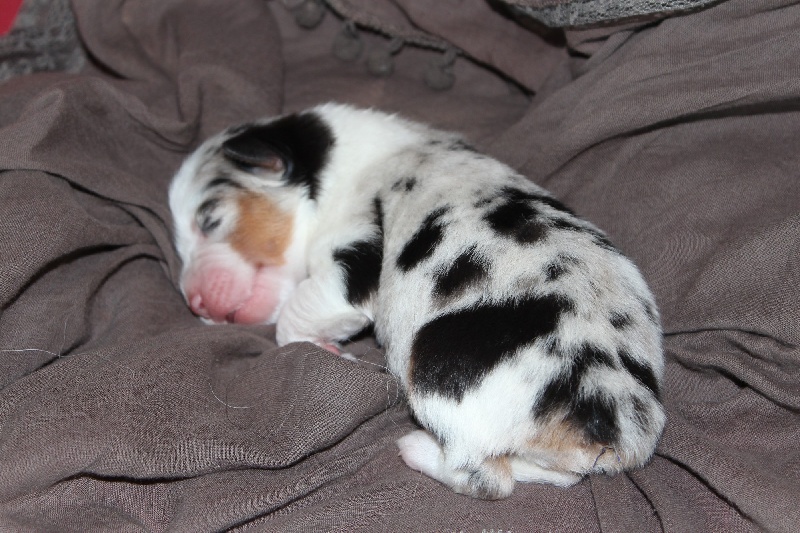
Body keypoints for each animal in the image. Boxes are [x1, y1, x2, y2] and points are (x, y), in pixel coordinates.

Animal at [169, 103, 666, 499]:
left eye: (209, 219)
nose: (195, 303)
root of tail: (608, 421)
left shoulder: (347, 264)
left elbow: (293, 318)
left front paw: (326, 350)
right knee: (549, 473)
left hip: (437, 373)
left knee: (485, 477)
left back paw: (416, 449)